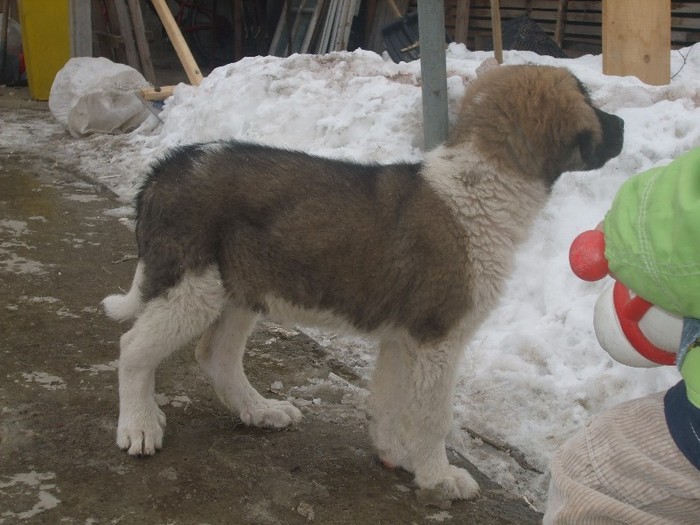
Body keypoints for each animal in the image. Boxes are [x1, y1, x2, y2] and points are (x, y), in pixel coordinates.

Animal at [104, 64, 624, 500]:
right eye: (588, 100)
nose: (621, 126)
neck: (480, 187)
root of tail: (166, 167)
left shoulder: (402, 337)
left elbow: (388, 401)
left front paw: (394, 453)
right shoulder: (437, 335)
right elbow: (433, 416)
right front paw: (439, 476)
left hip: (239, 290)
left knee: (216, 356)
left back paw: (259, 412)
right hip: (191, 288)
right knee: (134, 349)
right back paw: (139, 425)